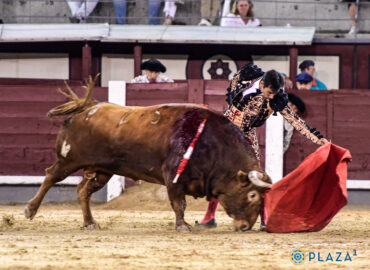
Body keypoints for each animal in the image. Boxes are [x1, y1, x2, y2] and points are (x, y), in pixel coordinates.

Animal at [23, 76, 272, 232]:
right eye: (252, 195)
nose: (245, 227)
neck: (212, 144)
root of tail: (89, 107)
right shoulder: (174, 177)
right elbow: (179, 204)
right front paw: (182, 226)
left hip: (103, 170)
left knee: (83, 190)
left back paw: (90, 222)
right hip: (69, 159)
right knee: (51, 176)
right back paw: (30, 210)